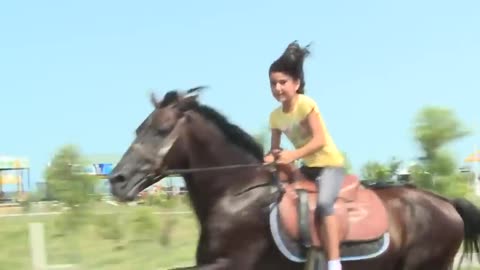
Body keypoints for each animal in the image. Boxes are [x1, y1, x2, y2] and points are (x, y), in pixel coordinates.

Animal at [109, 87, 480, 268]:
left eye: (162, 130)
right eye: (139, 129)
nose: (117, 180)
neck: (237, 194)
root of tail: (445, 203)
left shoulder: (229, 263)